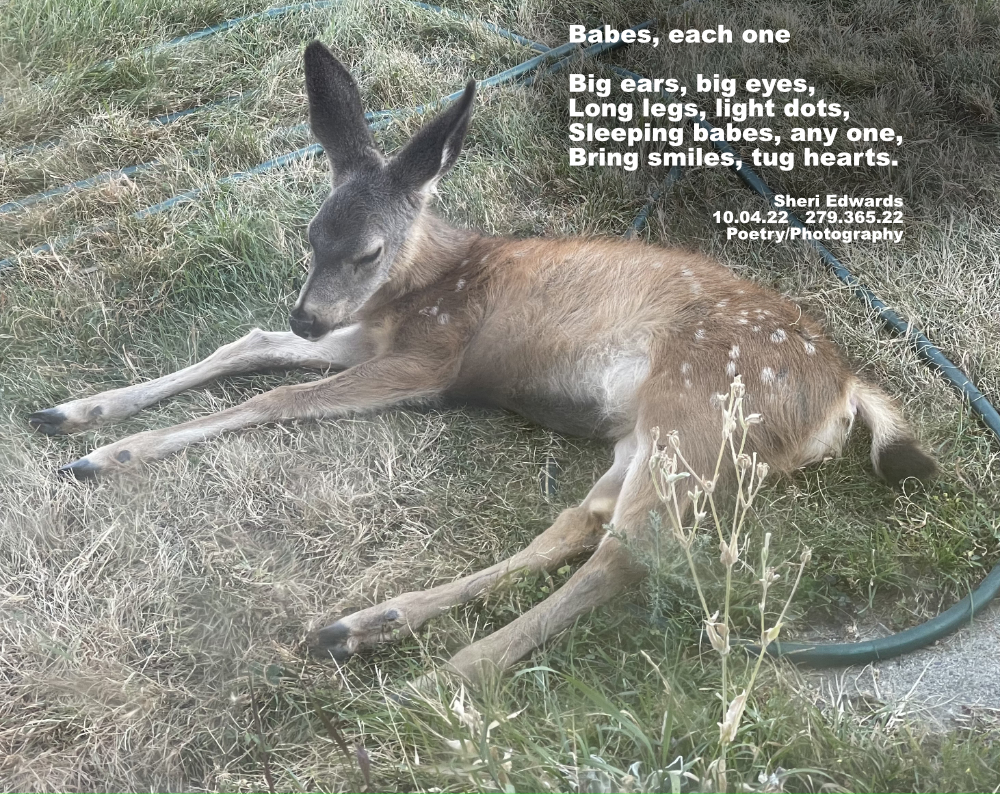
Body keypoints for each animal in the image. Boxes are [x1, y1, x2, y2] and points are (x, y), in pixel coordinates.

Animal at [28, 41, 937, 687]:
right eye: (310, 235)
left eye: (366, 249)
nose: (306, 310)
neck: (425, 282)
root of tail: (844, 389)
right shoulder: (368, 334)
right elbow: (242, 347)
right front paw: (75, 415)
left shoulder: (432, 355)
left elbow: (275, 396)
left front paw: (110, 454)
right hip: (650, 434)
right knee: (581, 523)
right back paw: (360, 628)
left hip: (700, 414)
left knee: (629, 554)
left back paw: (445, 678)